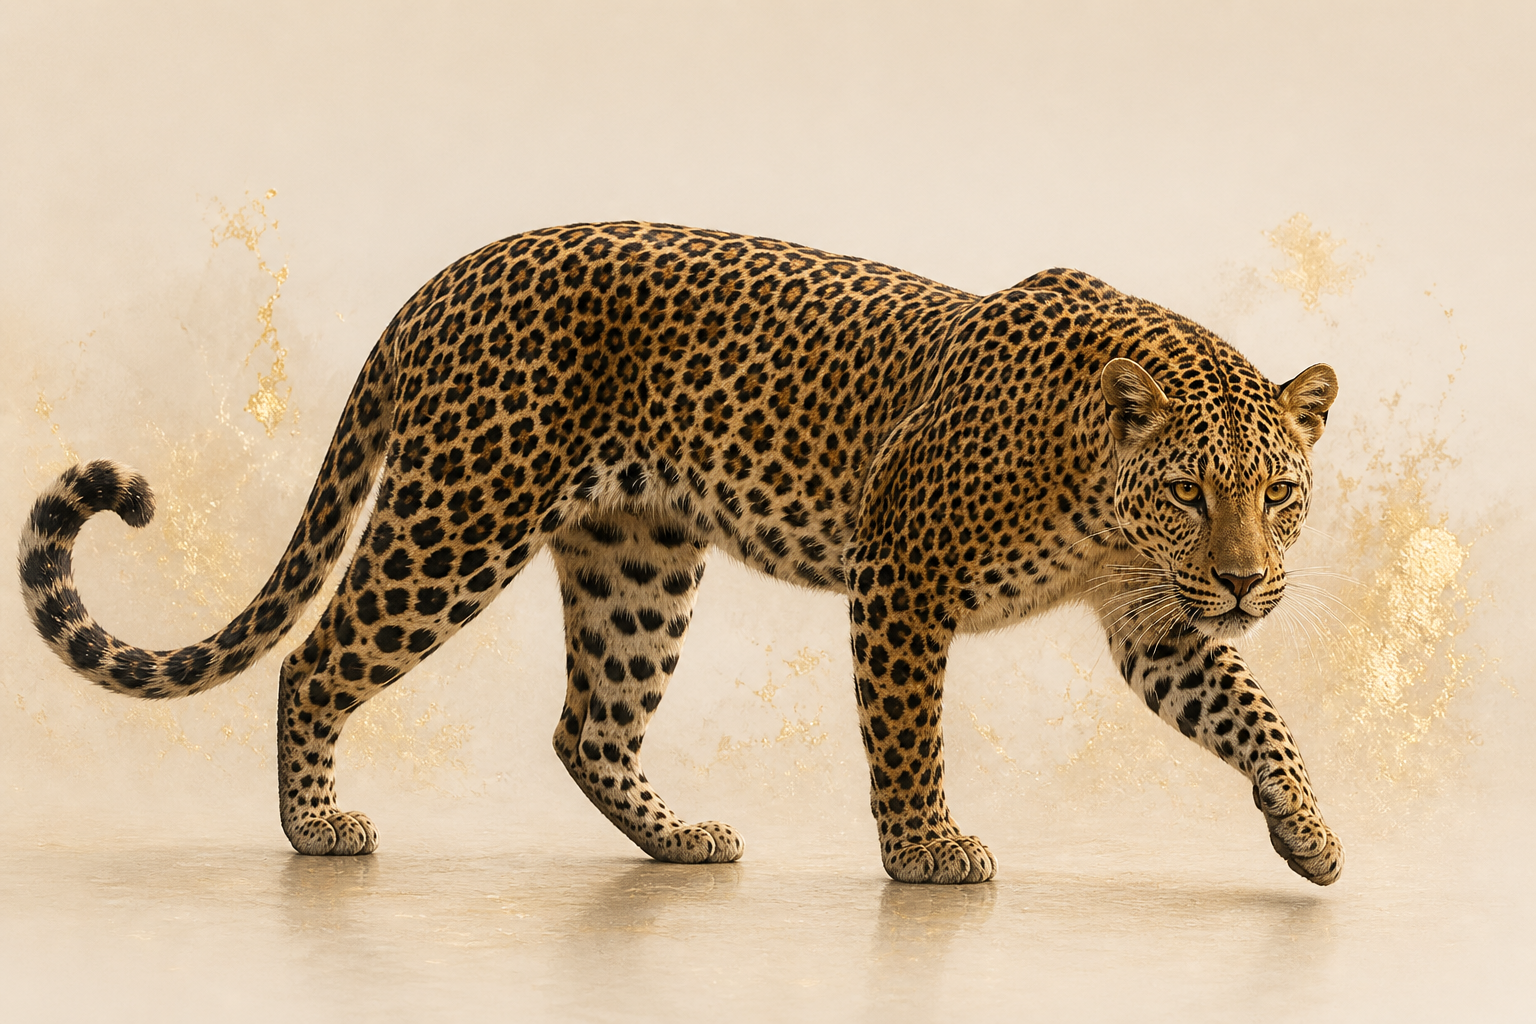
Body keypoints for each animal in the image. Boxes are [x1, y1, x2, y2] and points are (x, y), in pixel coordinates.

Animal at [19, 221, 1343, 885]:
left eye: (1277, 494)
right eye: (1189, 491)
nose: (1247, 579)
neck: (1101, 497)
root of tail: (440, 281)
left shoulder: (1157, 621)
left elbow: (1256, 713)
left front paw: (1310, 834)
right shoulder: (902, 577)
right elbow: (908, 734)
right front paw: (926, 853)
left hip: (637, 560)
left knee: (587, 725)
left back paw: (682, 841)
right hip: (460, 517)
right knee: (318, 657)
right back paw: (316, 829)